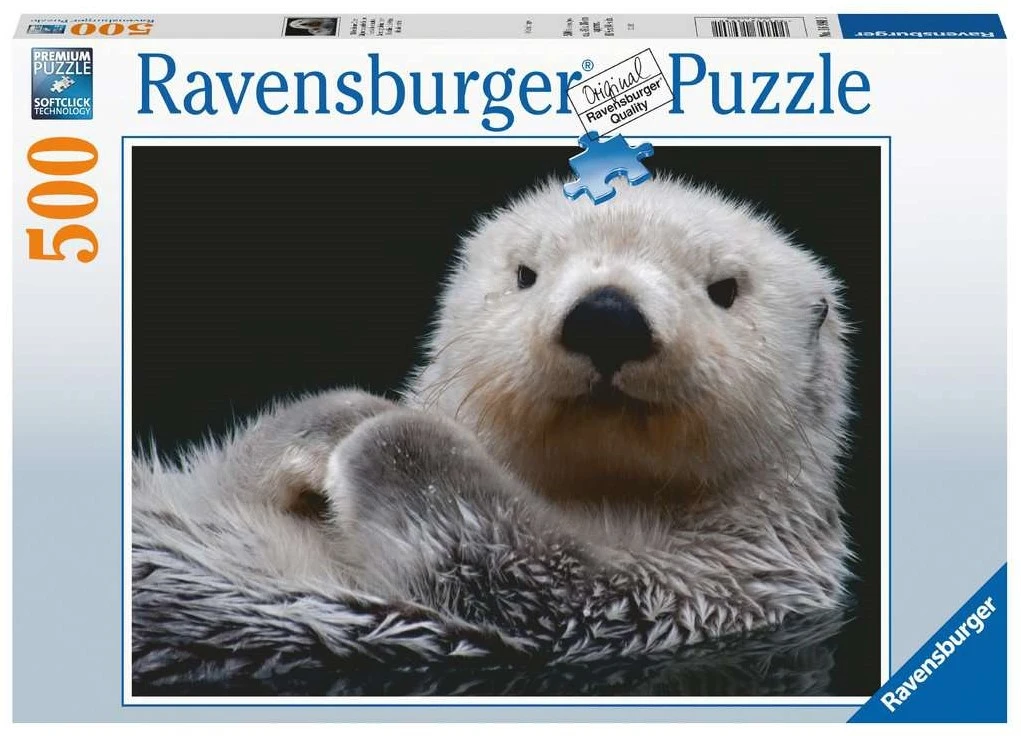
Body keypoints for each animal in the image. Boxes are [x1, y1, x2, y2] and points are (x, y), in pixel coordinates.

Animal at [133, 175, 853, 669]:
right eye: (526, 274)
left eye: (725, 289)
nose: (607, 316)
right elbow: (226, 473)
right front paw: (338, 422)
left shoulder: (695, 590)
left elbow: (517, 561)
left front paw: (387, 435)